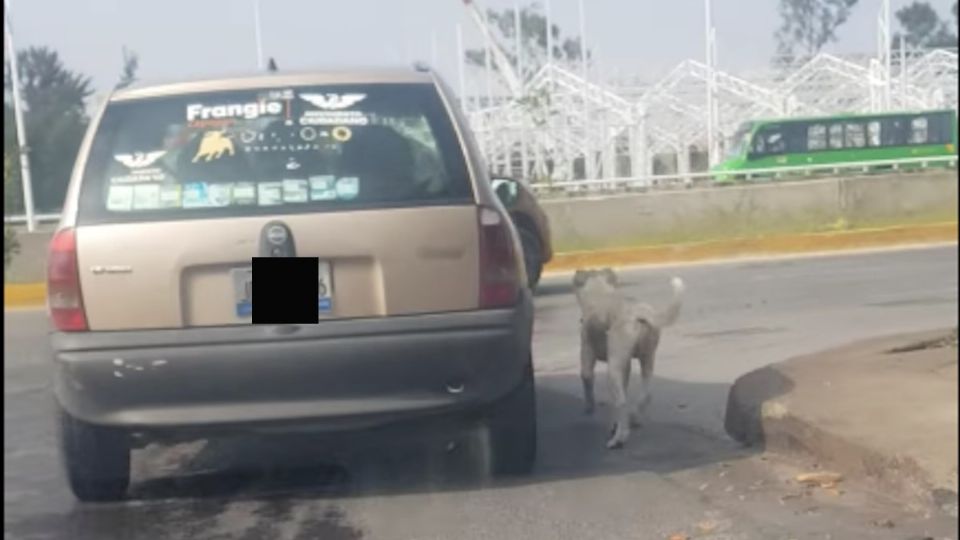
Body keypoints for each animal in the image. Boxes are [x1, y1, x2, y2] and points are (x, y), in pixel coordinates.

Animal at [568, 268, 684, 450]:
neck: (601, 295)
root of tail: (639, 312)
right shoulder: (626, 365)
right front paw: (614, 424)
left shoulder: (587, 355)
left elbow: (587, 380)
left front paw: (589, 406)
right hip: (647, 359)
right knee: (646, 394)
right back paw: (634, 418)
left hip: (612, 370)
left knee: (621, 402)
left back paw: (619, 438)